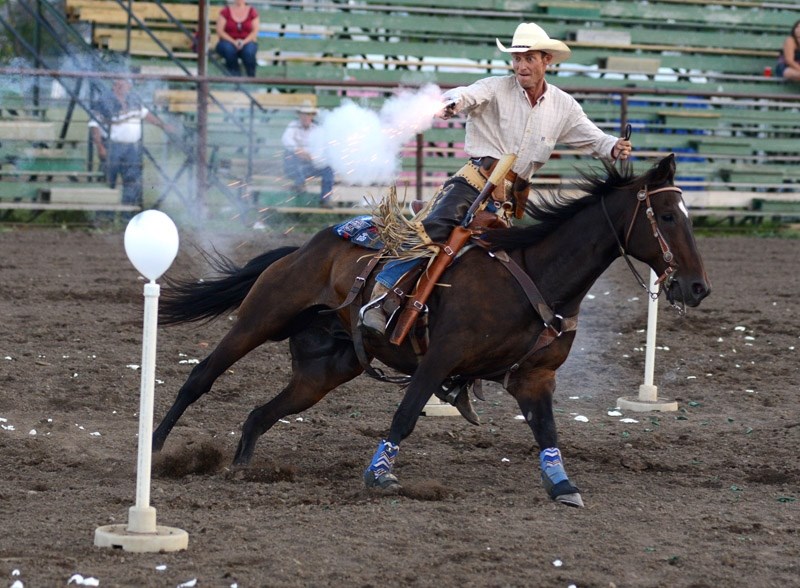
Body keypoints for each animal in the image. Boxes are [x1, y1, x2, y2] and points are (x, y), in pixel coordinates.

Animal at [153, 155, 708, 506]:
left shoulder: (535, 377)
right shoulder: (439, 358)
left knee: (259, 414)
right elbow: (404, 418)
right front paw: (378, 475)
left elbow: (547, 431)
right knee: (199, 378)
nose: (697, 287)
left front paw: (562, 487)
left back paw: (242, 469)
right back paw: (155, 450)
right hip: (258, 320)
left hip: (323, 371)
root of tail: (303, 249)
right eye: (664, 215)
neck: (536, 275)